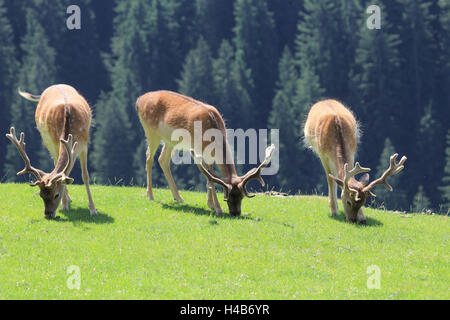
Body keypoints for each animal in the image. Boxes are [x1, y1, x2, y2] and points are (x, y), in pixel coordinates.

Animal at [5, 84, 97, 219]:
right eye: (41, 195)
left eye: (56, 195)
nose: (48, 214)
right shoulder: (56, 143)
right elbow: (63, 173)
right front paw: (64, 205)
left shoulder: (84, 145)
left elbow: (85, 175)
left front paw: (93, 210)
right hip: (48, 141)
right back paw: (67, 200)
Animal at [134, 89, 274, 216]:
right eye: (228, 197)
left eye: (241, 196)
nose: (235, 213)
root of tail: (139, 100)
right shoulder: (198, 150)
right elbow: (210, 179)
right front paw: (218, 208)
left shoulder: (210, 154)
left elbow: (209, 178)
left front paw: (210, 204)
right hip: (151, 132)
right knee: (149, 158)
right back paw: (150, 196)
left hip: (170, 141)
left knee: (162, 160)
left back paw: (178, 197)